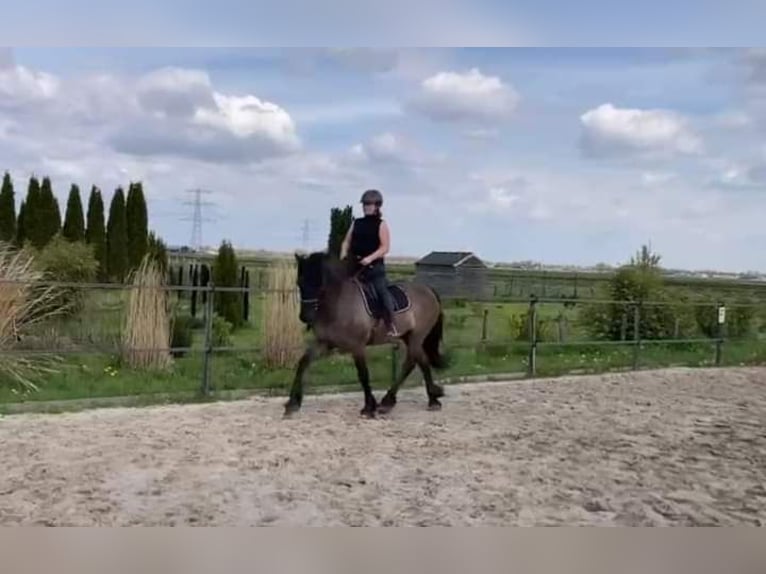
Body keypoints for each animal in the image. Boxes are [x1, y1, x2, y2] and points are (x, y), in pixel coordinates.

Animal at [284, 252, 450, 418]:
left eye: (319, 283)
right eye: (300, 283)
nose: (305, 316)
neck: (338, 303)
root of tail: (427, 289)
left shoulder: (357, 346)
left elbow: (363, 374)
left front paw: (369, 407)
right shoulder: (324, 343)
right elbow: (303, 363)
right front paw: (292, 404)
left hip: (417, 336)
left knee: (411, 362)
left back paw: (391, 401)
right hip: (408, 336)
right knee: (421, 361)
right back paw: (430, 399)